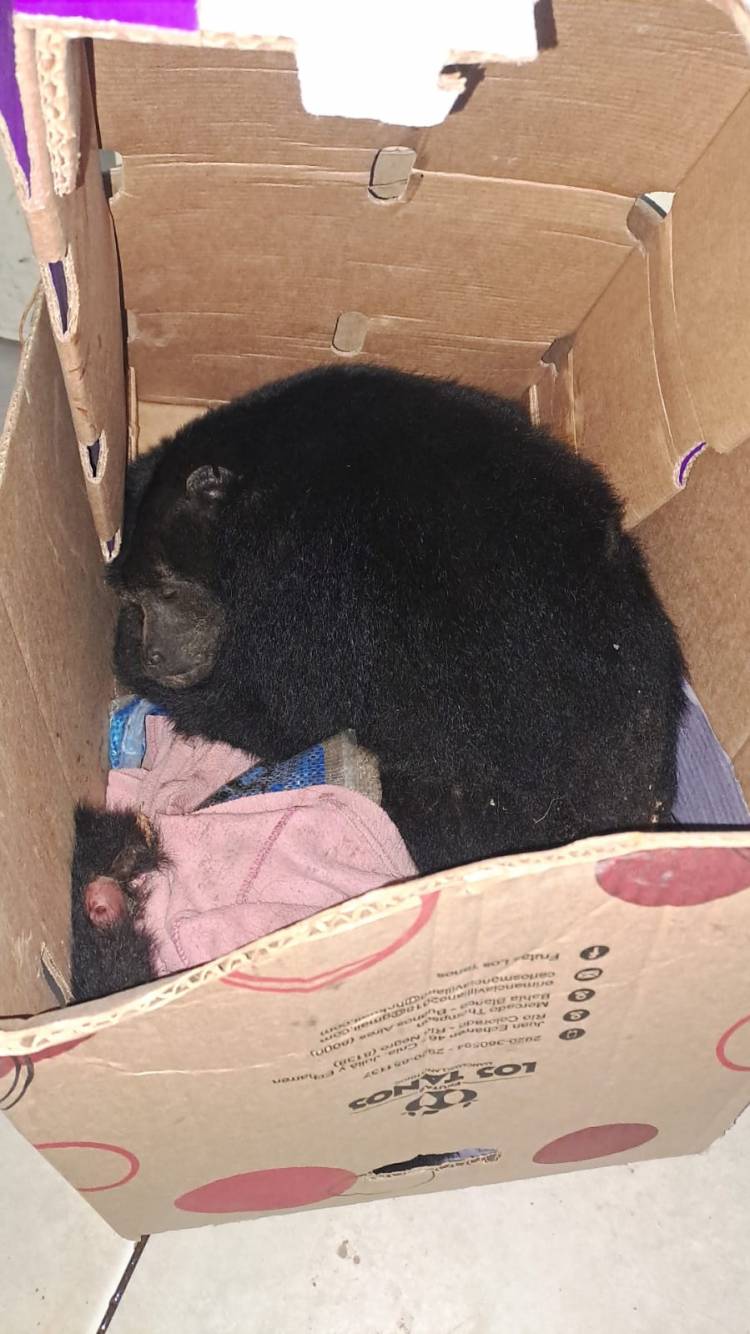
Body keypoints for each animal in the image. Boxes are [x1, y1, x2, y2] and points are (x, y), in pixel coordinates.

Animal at [107, 364, 685, 875]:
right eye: (135, 598)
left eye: (165, 590)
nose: (154, 651)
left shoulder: (310, 578)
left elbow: (280, 712)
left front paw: (126, 656)